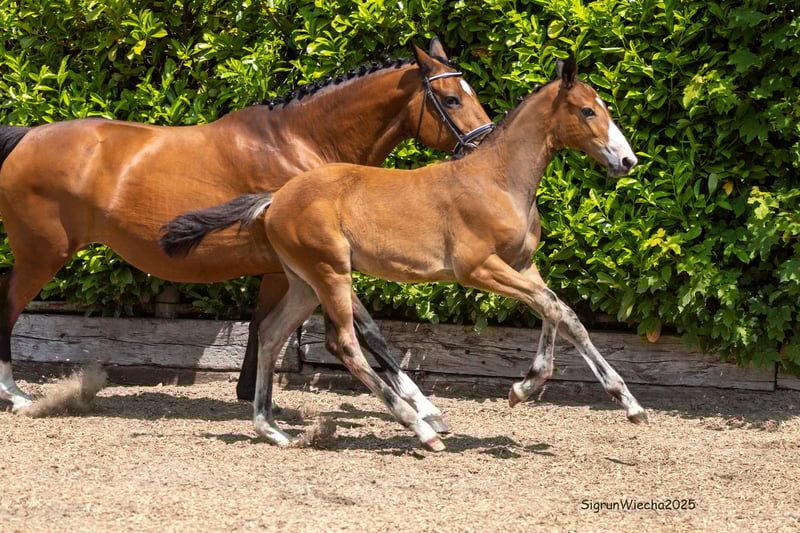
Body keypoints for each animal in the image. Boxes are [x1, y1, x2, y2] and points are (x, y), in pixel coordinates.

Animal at [0, 37, 493, 427]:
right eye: (451, 99)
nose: (484, 145)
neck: (299, 143)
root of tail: (26, 137)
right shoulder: (325, 262)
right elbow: (371, 332)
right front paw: (425, 410)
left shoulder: (280, 270)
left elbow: (260, 327)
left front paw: (252, 398)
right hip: (43, 254)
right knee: (8, 304)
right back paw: (17, 394)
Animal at [160, 56, 647, 451]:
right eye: (587, 110)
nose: (628, 161)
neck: (499, 180)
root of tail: (276, 197)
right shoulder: (478, 268)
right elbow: (553, 307)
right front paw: (529, 389)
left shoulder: (523, 265)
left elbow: (562, 313)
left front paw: (621, 402)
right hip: (331, 273)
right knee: (345, 344)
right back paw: (422, 429)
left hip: (305, 282)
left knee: (272, 332)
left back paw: (271, 429)